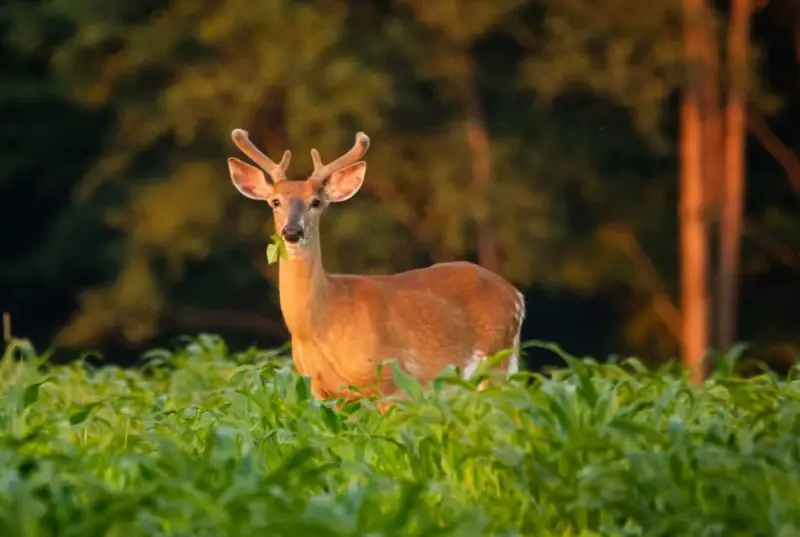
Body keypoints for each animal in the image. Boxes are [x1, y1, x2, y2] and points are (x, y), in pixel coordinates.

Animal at [226, 128, 525, 405]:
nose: (291, 231)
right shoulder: (321, 391)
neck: (320, 324)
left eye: (316, 201)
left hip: (496, 364)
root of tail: (516, 295)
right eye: (275, 201)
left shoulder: (390, 381)